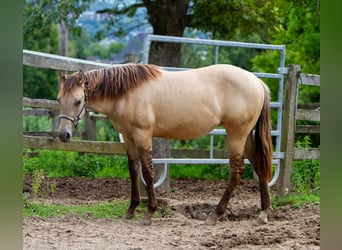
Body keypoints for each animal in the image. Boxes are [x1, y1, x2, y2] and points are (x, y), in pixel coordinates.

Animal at [57, 63, 274, 226]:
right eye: (59, 99)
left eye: (78, 101)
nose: (63, 135)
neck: (127, 93)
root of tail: (256, 81)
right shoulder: (128, 137)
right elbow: (133, 171)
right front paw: (131, 210)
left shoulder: (143, 135)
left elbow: (147, 172)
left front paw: (149, 213)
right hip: (245, 136)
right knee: (257, 164)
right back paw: (263, 213)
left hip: (236, 134)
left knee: (236, 171)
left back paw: (215, 215)